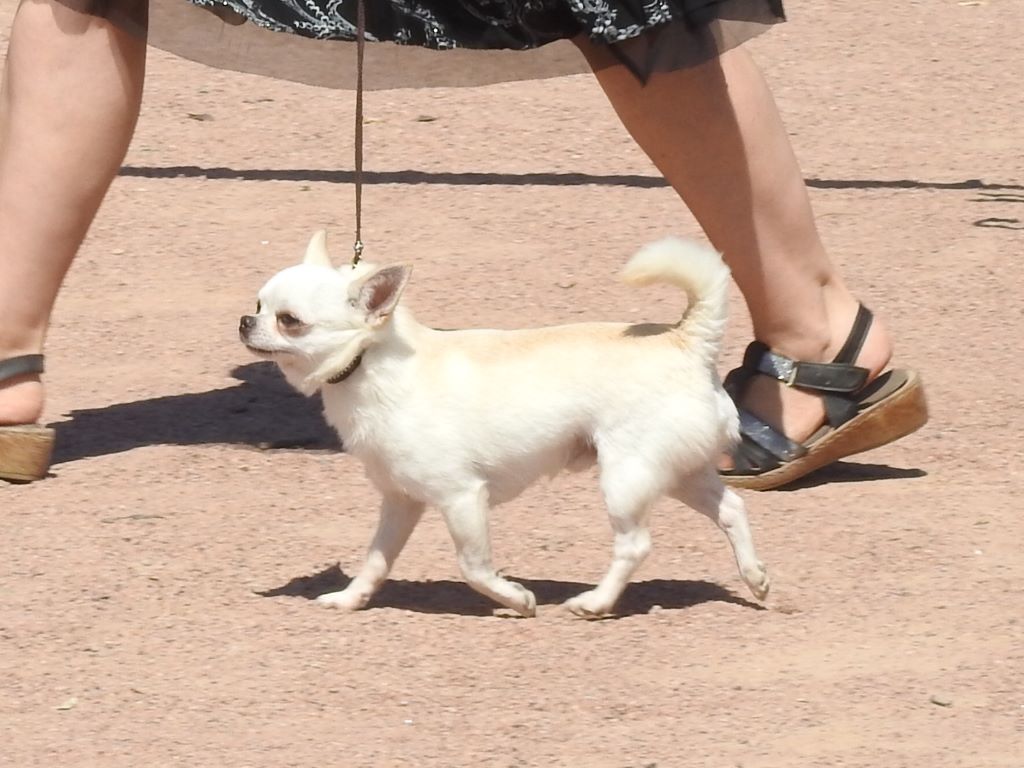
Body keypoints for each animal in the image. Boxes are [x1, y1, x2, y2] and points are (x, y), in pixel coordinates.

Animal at [239, 233, 770, 618]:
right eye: (259, 304)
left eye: (290, 321)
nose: (245, 320)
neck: (370, 364)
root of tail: (687, 340)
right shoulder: (400, 502)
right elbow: (376, 559)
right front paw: (351, 600)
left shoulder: (461, 497)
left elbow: (472, 566)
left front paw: (515, 599)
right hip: (678, 471)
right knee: (732, 509)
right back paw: (755, 576)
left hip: (627, 476)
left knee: (635, 545)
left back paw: (594, 603)